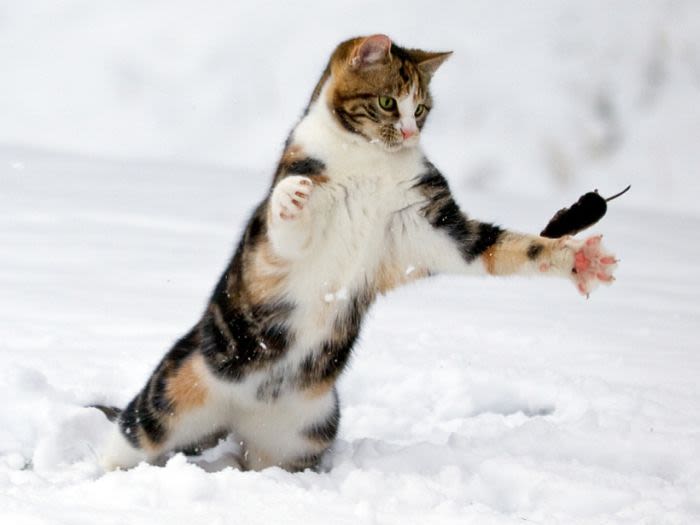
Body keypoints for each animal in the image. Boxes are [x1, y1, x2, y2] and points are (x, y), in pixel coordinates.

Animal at [95, 34, 616, 472]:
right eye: (387, 102)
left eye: (420, 109)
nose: (408, 134)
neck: (373, 164)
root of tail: (237, 415)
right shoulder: (283, 240)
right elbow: (285, 227)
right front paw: (290, 198)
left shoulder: (432, 230)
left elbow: (509, 247)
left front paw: (580, 259)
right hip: (169, 398)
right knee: (126, 438)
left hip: (303, 435)